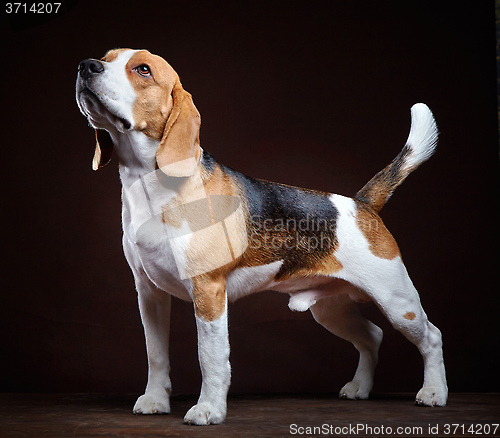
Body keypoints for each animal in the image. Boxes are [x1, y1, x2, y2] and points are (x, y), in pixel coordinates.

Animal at [75, 48, 450, 424]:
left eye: (143, 70)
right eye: (107, 57)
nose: (86, 66)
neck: (147, 183)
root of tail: (362, 203)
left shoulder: (209, 291)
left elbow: (210, 358)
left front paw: (209, 409)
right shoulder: (149, 293)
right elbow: (155, 354)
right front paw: (155, 400)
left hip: (397, 301)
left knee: (431, 336)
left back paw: (433, 392)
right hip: (330, 309)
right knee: (372, 336)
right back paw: (360, 387)